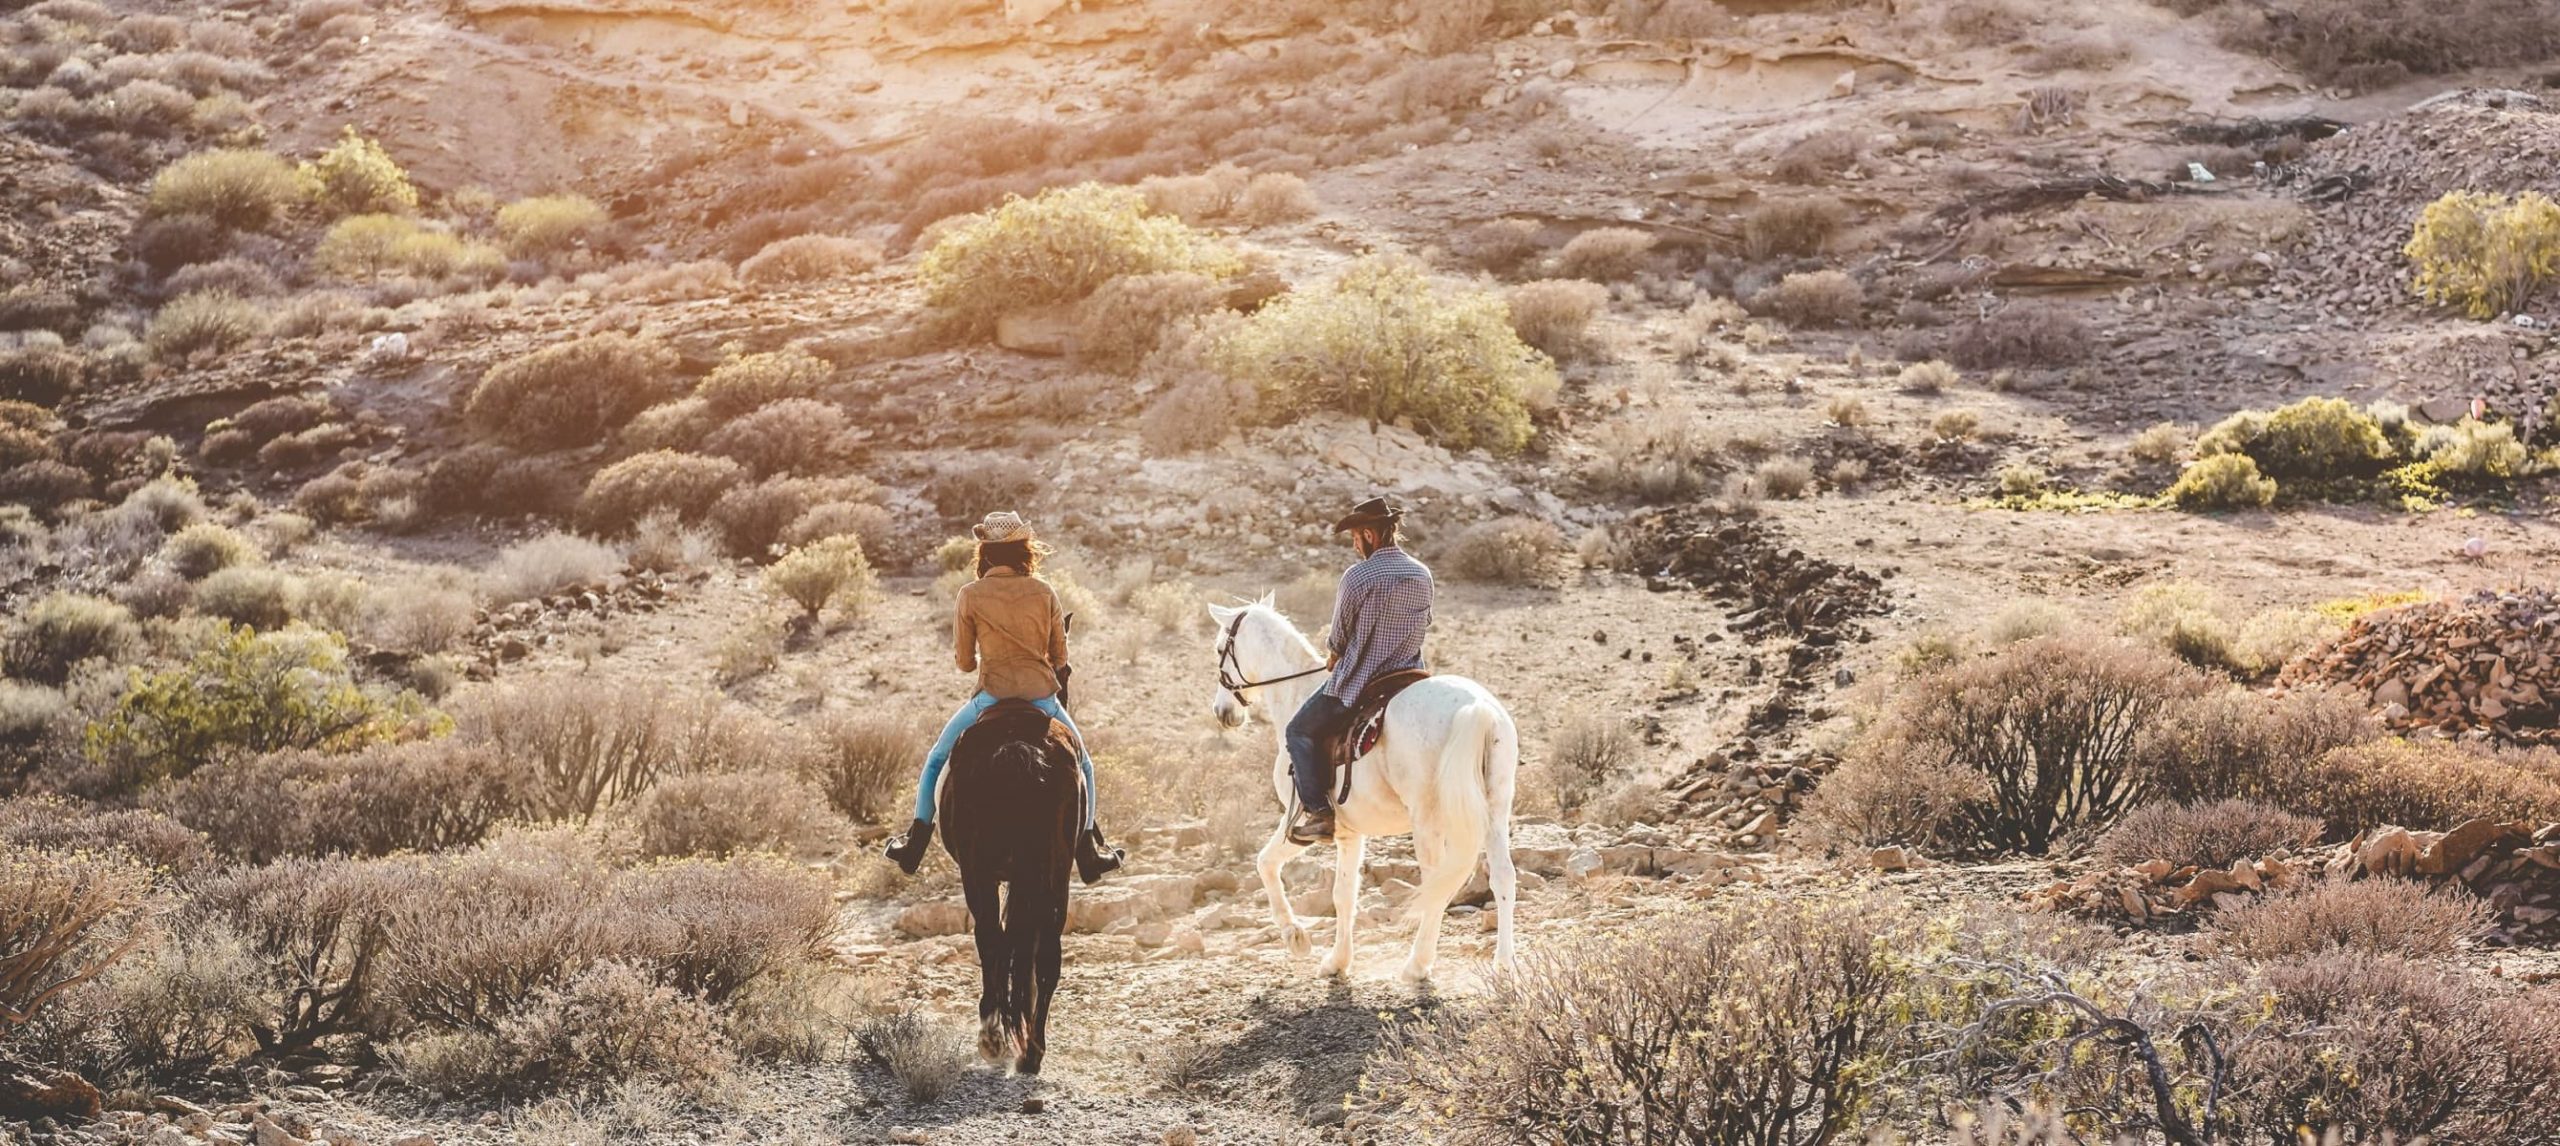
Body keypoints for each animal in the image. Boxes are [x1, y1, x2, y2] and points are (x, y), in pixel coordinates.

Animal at [942, 695, 1080, 1074]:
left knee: (991, 940)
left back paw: (992, 1037)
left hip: (978, 873)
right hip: (1053, 875)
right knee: (1046, 954)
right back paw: (1031, 1051)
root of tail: (1016, 748)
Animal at [1203, 596, 1505, 982]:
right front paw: (1338, 961)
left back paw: (1417, 965)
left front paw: (1295, 937)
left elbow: (1265, 863)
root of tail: (1477, 709)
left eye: (1219, 648)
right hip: (1495, 814)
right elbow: (1344, 894)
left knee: (1437, 883)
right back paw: (1505, 964)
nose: (1222, 712)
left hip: (1428, 822)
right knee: (1503, 879)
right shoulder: (1350, 832)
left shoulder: (1298, 823)